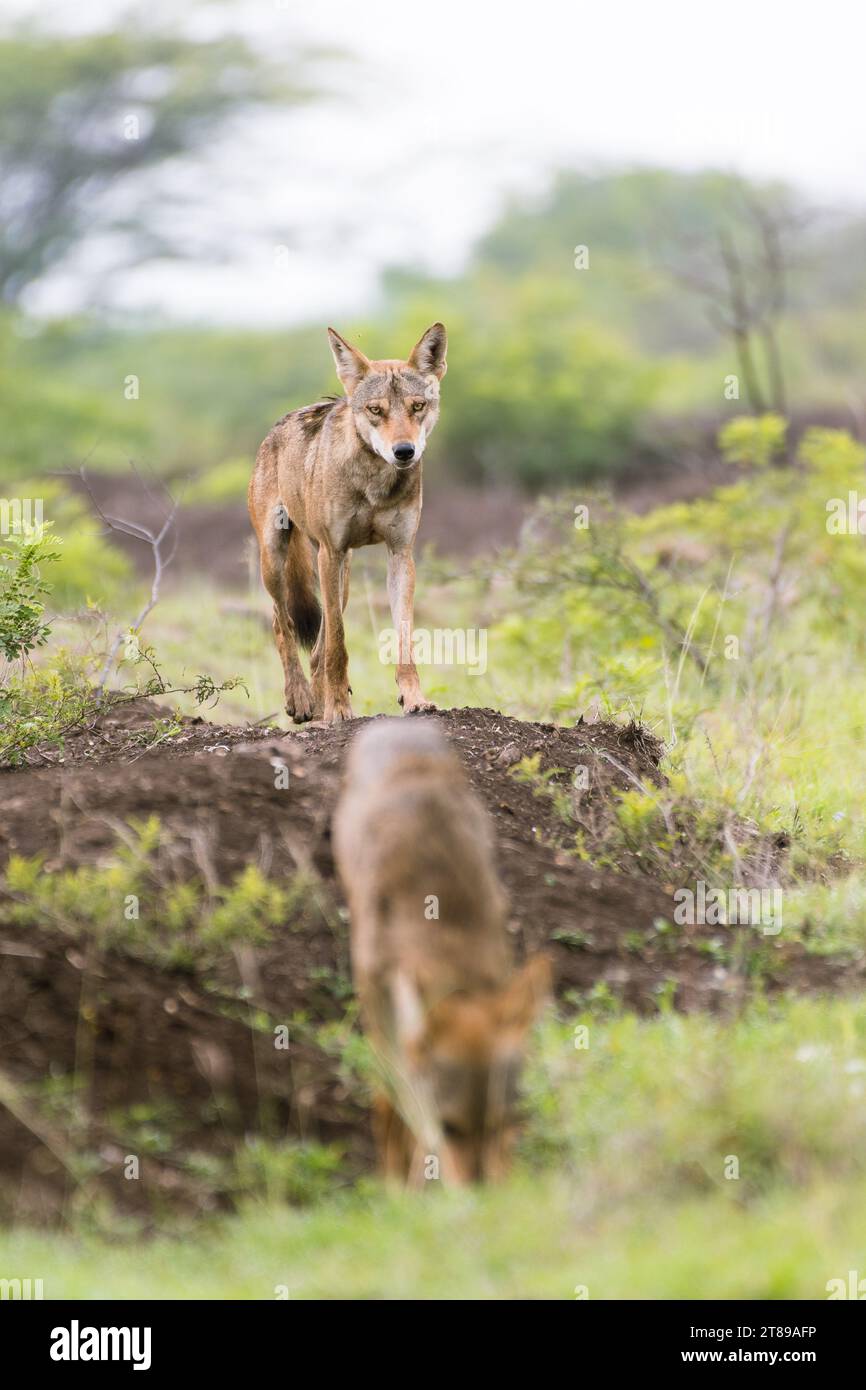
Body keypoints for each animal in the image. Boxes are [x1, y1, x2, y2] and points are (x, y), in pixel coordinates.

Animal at [244, 319, 447, 722]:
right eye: (375, 410)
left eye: (417, 407)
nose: (404, 451)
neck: (374, 483)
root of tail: (277, 426)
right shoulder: (331, 551)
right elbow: (338, 645)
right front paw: (338, 709)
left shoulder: (400, 554)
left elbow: (403, 641)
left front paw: (415, 700)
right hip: (278, 559)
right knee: (281, 623)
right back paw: (301, 699)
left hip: (343, 574)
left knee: (317, 646)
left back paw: (316, 702)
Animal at [335, 717, 553, 1184]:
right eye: (450, 1127)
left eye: (503, 1124)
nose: (485, 1194)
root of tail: (397, 726)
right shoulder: (378, 1007)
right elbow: (393, 1109)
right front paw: (397, 1188)